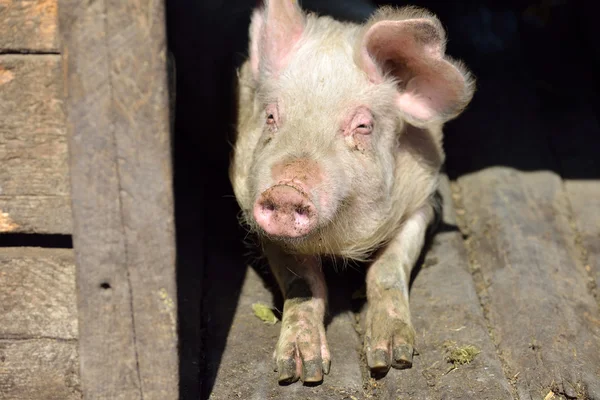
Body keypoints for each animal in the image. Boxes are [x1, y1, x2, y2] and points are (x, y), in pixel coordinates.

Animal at [229, 0, 474, 384]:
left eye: (362, 126)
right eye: (270, 117)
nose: (286, 190)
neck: (339, 242)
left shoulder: (423, 200)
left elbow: (386, 268)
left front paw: (392, 359)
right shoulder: (257, 215)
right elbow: (302, 281)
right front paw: (301, 373)